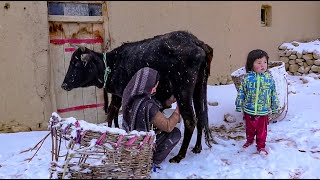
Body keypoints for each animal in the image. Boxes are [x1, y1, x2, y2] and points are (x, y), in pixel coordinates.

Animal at [61, 30, 216, 162]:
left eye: (76, 64)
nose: (64, 85)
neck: (112, 64)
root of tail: (196, 42)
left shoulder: (121, 93)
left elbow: (114, 112)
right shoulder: (117, 95)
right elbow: (113, 113)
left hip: (183, 91)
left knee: (190, 120)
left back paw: (180, 155)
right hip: (199, 88)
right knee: (201, 116)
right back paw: (197, 147)